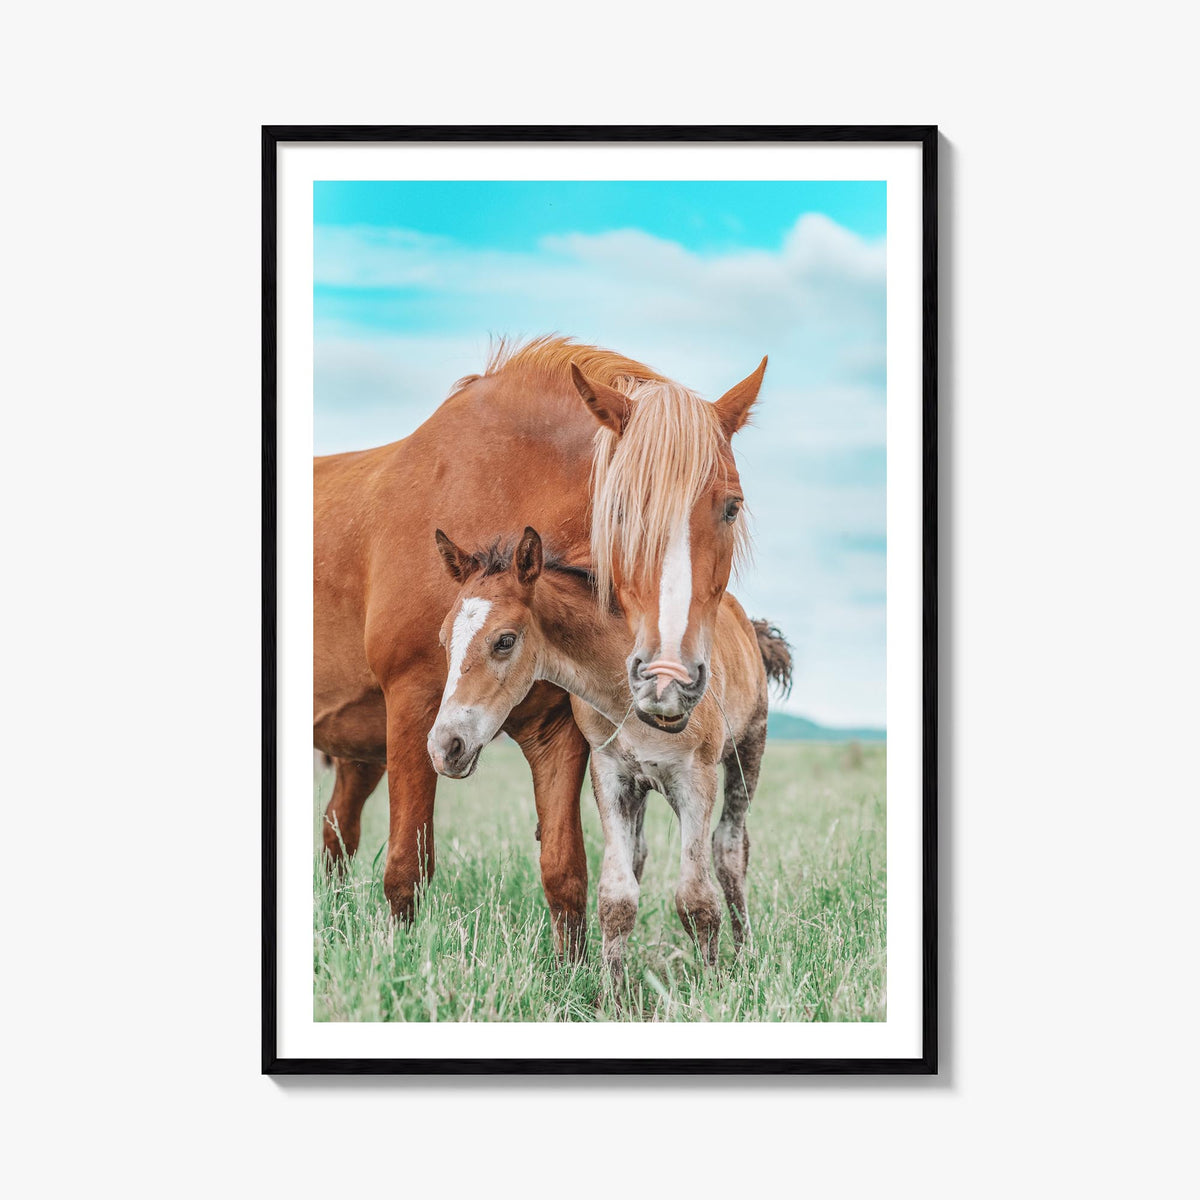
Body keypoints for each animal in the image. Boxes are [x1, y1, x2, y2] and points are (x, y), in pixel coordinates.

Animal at [313, 337, 767, 956]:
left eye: (732, 506)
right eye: (618, 509)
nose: (668, 678)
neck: (502, 485)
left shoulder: (560, 732)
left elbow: (565, 871)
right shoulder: (413, 707)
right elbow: (408, 866)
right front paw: (402, 963)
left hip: (359, 754)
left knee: (337, 837)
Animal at [427, 526, 793, 978]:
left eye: (505, 640)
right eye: (444, 639)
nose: (445, 746)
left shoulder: (696, 778)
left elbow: (696, 899)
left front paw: (711, 986)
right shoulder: (611, 775)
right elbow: (617, 898)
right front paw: (612, 991)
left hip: (748, 749)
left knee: (730, 848)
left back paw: (744, 954)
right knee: (640, 854)